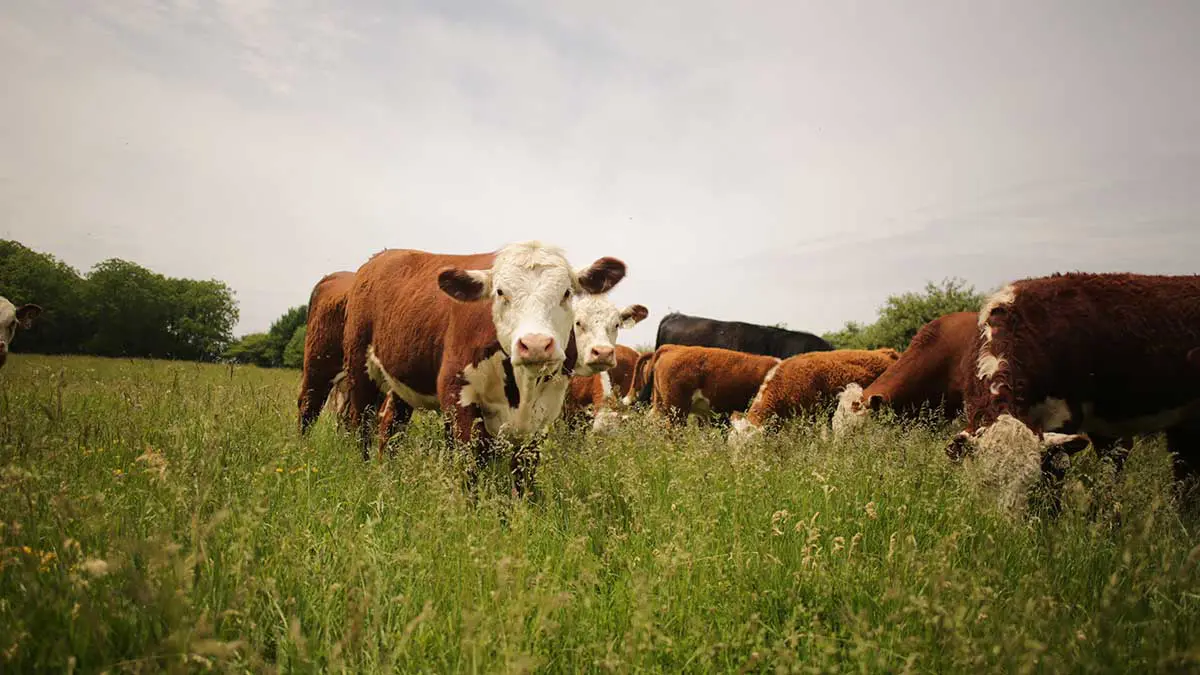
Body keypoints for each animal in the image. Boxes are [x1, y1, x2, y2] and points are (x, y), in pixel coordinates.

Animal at [343, 241, 627, 496]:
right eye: (500, 292)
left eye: (566, 293)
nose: (535, 344)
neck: (522, 390)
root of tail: (379, 258)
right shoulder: (458, 395)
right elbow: (468, 464)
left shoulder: (545, 410)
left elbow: (524, 472)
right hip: (359, 371)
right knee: (362, 425)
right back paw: (365, 471)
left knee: (391, 425)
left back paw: (386, 472)